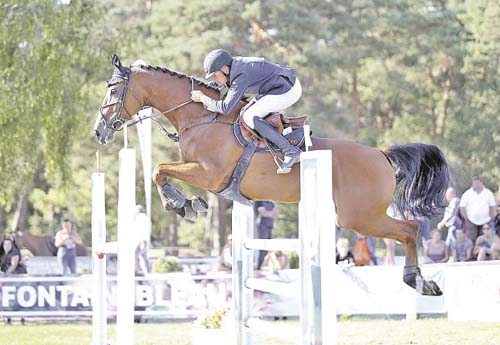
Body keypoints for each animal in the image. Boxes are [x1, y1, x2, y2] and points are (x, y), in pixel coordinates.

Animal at [93, 55, 450, 294]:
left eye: (113, 90)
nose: (99, 131)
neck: (202, 118)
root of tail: (380, 154)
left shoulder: (209, 175)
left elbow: (158, 170)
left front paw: (181, 205)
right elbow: (162, 171)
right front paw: (189, 204)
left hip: (357, 217)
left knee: (409, 229)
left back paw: (417, 280)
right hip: (359, 215)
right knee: (409, 230)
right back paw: (420, 281)